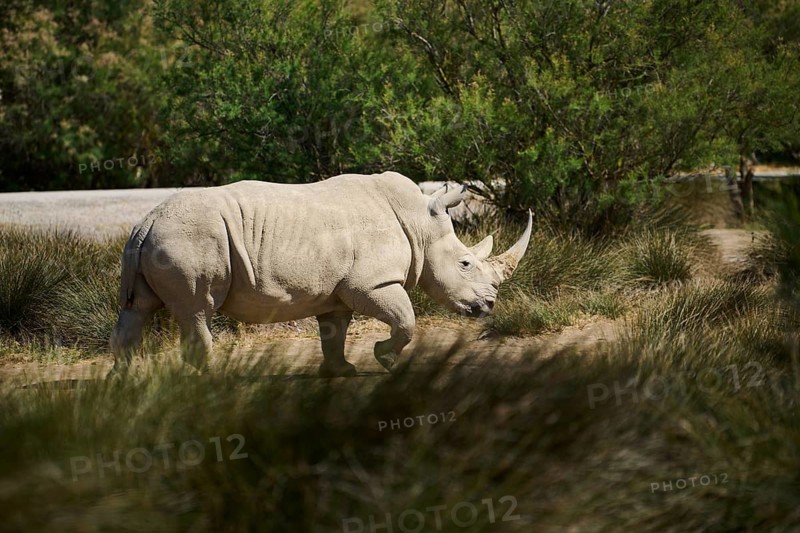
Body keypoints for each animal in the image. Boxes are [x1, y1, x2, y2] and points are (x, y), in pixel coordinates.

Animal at [110, 171, 531, 377]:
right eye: (465, 264)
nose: (489, 305)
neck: (420, 223)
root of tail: (145, 223)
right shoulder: (372, 283)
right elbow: (406, 320)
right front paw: (384, 360)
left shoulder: (338, 290)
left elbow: (334, 331)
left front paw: (341, 371)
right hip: (189, 240)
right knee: (197, 309)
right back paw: (215, 375)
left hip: (160, 241)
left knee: (137, 310)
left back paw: (123, 383)